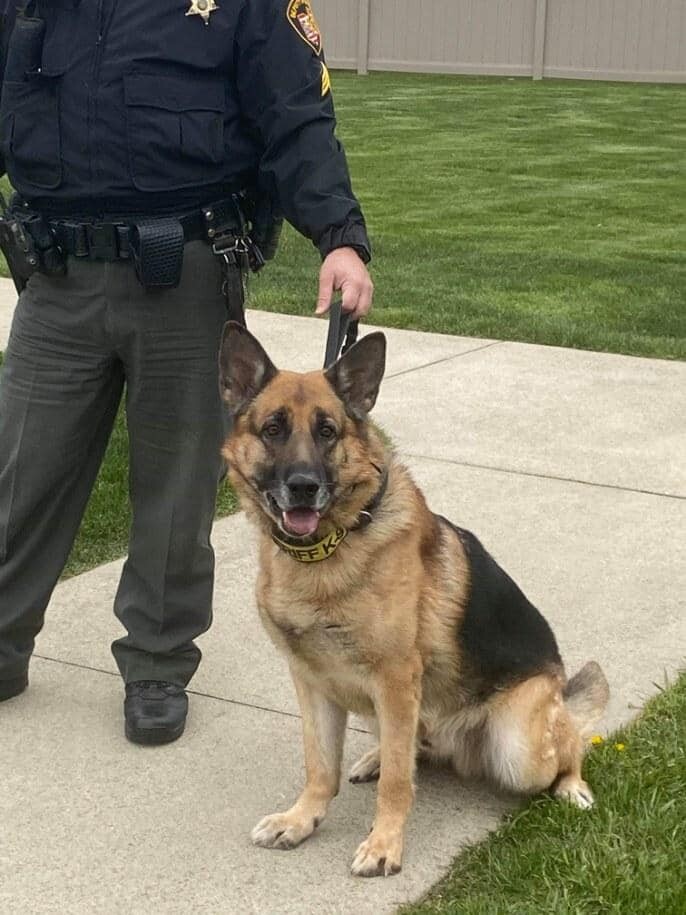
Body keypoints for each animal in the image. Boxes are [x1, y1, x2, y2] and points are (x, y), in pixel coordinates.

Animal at [218, 324, 612, 880]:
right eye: (273, 429)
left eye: (328, 431)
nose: (303, 487)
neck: (328, 550)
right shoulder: (312, 681)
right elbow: (320, 765)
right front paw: (301, 819)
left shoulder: (395, 678)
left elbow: (398, 785)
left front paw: (384, 843)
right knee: (408, 749)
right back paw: (376, 756)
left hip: (519, 744)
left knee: (568, 744)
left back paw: (572, 785)